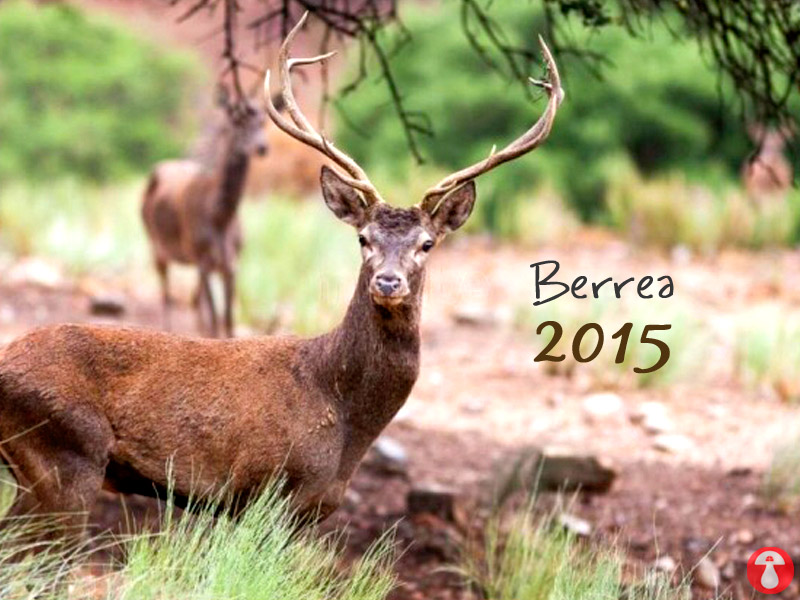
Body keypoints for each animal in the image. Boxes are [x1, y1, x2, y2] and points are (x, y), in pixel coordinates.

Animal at [142, 87, 280, 340]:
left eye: (263, 121)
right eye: (235, 121)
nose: (261, 147)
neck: (220, 219)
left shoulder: (231, 263)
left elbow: (228, 320)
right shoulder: (203, 260)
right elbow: (216, 320)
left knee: (193, 300)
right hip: (155, 243)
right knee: (166, 294)